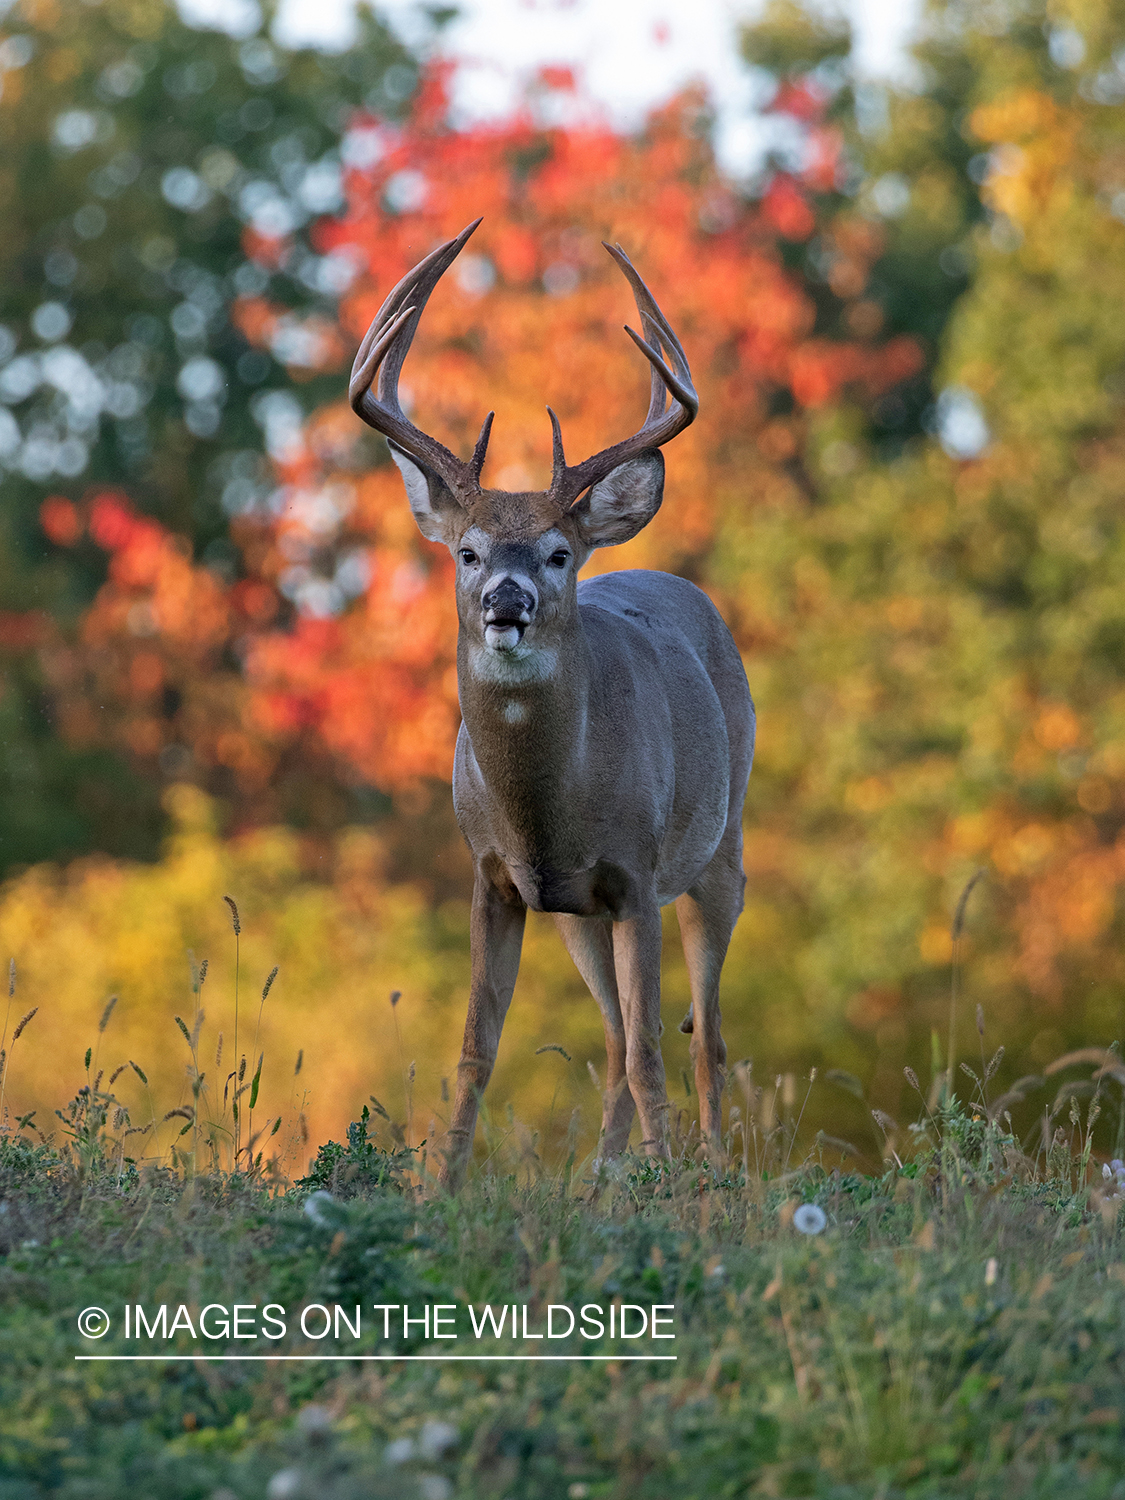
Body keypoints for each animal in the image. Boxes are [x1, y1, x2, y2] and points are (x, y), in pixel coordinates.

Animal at [351, 217, 759, 1188]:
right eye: (465, 551)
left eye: (558, 553)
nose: (507, 602)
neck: (548, 804)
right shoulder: (494, 875)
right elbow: (475, 1048)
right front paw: (441, 1189)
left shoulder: (637, 875)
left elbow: (655, 1051)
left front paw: (673, 1196)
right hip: (577, 916)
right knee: (611, 1043)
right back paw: (604, 1183)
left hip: (720, 850)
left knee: (702, 1038)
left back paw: (709, 1178)